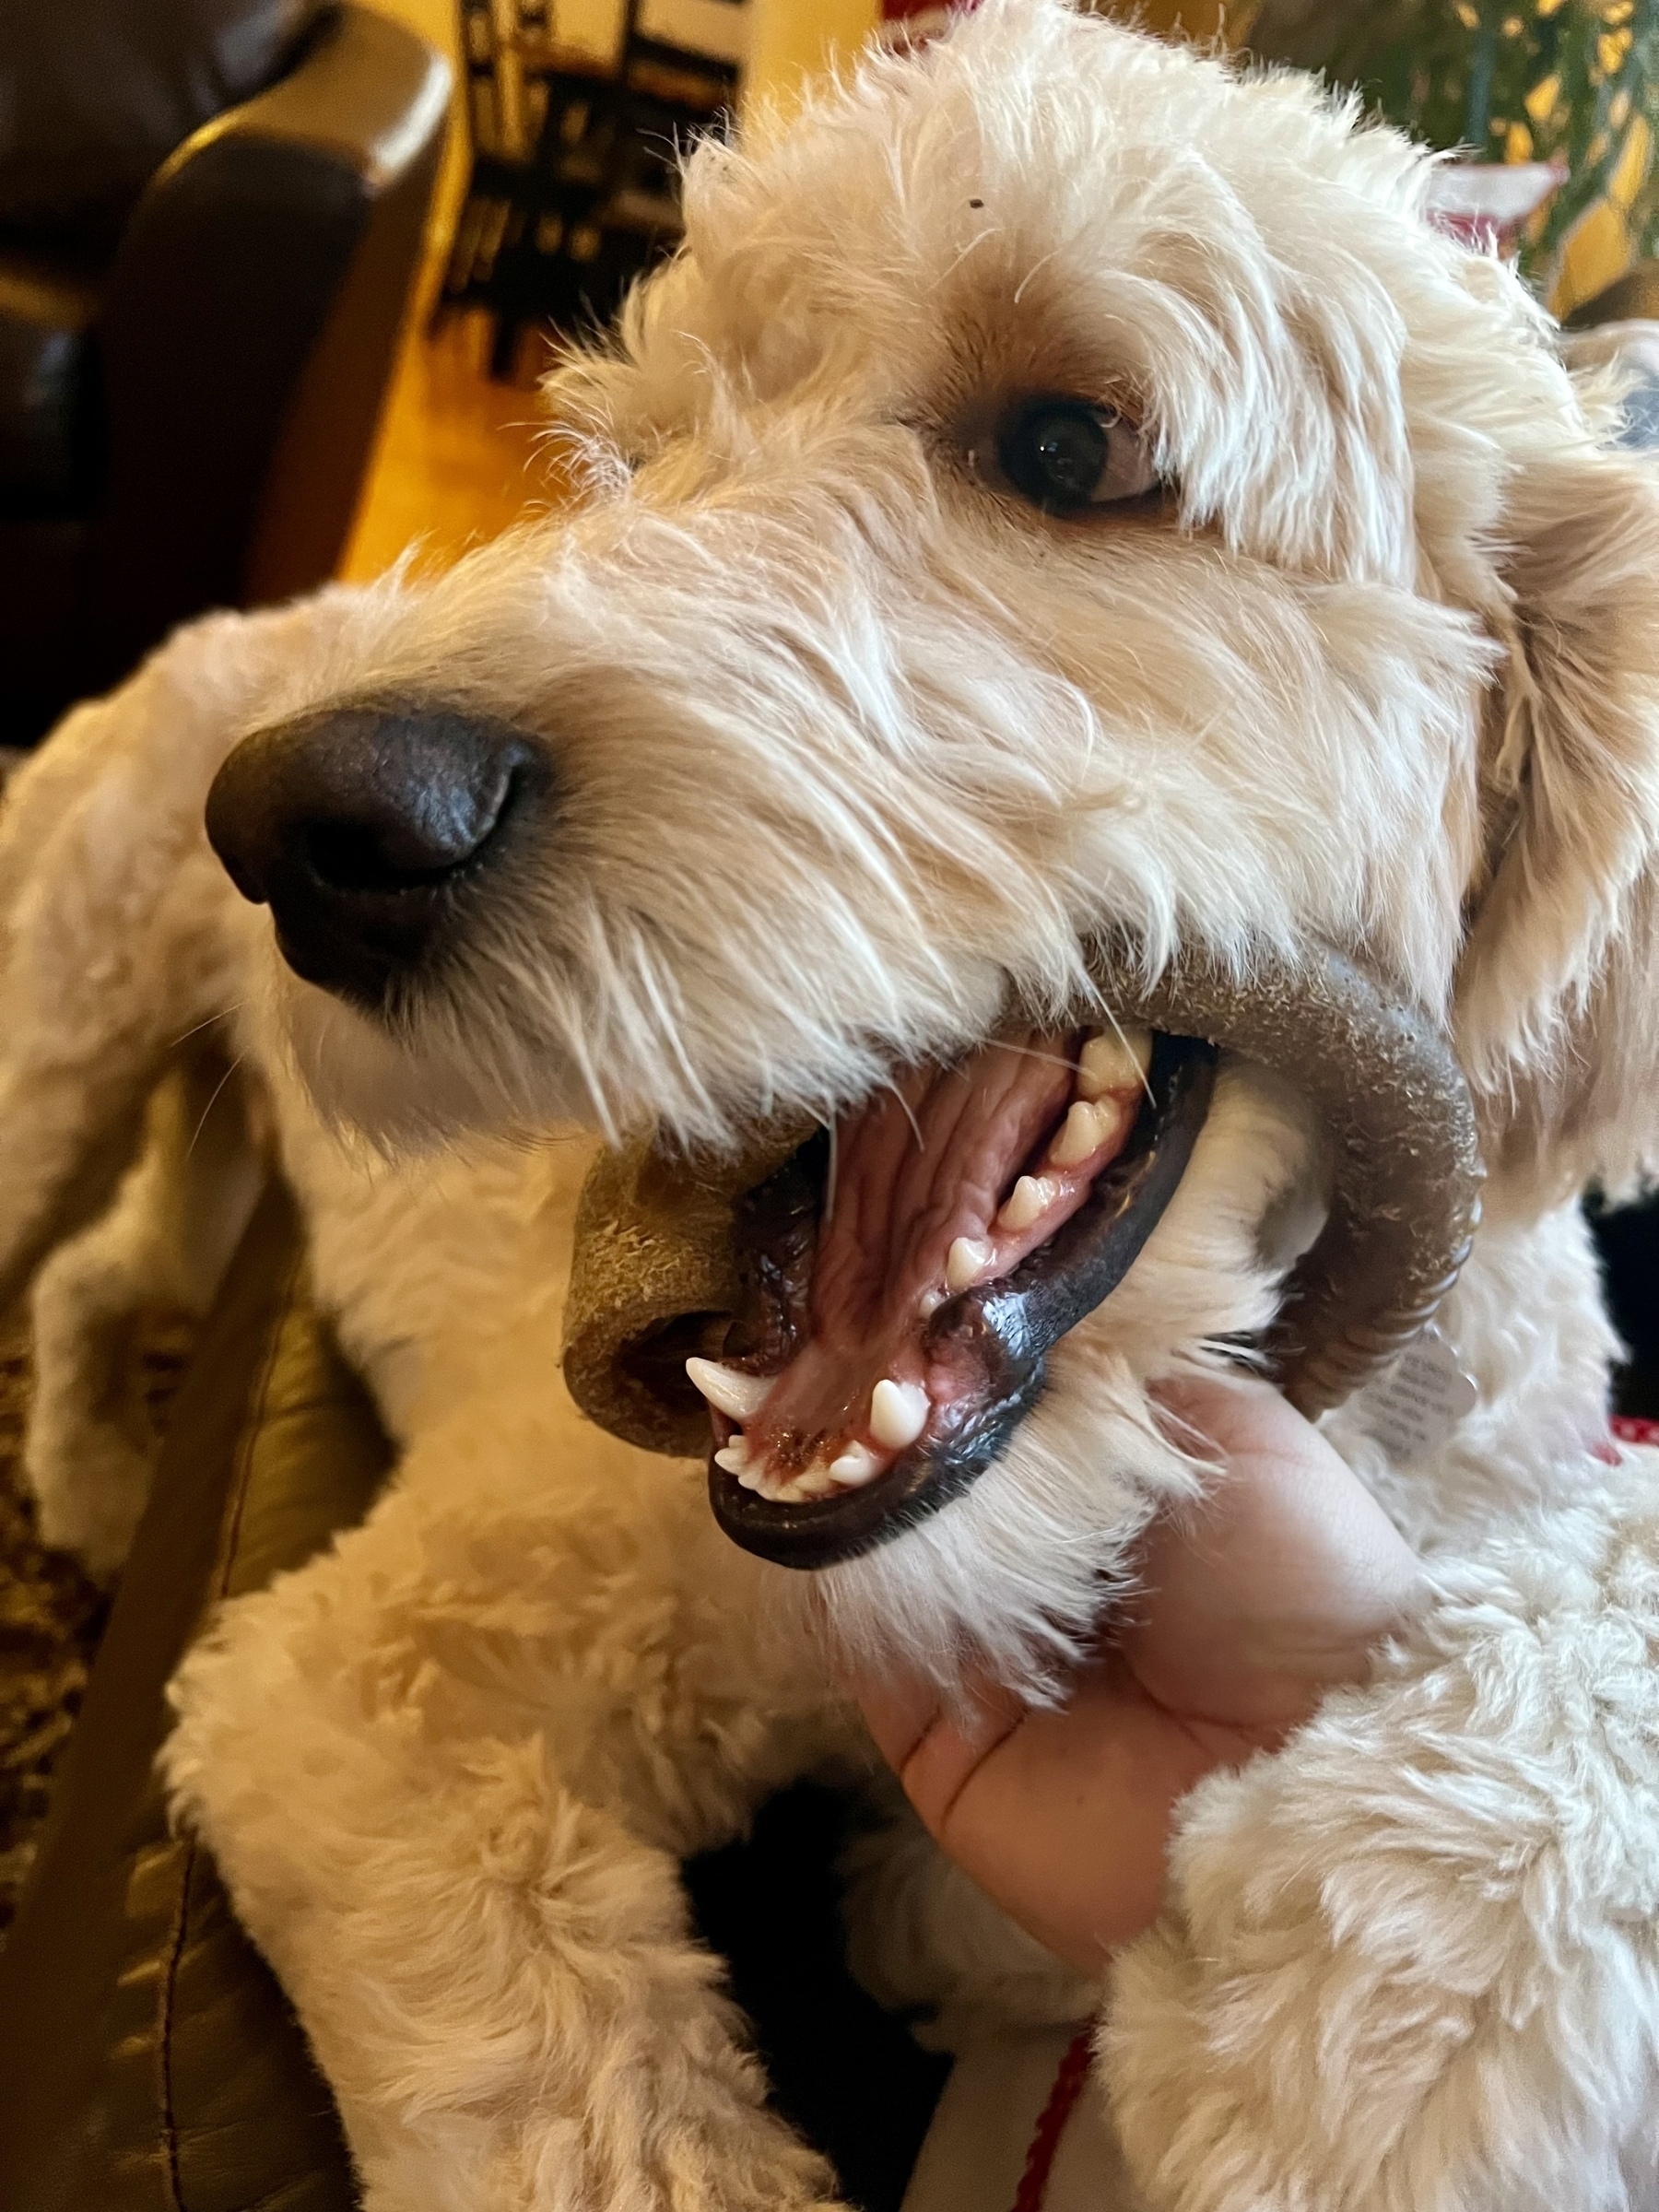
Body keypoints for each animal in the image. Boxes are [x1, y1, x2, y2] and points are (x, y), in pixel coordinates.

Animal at [3, 8, 1659, 2203]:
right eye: (634, 462)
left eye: (1070, 449)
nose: (306, 826)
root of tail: (272, 623)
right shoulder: (360, 1680)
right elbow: (585, 2112)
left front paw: (1381, 1989)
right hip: (55, 1033)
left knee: (104, 1282)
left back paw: (106, 1491)